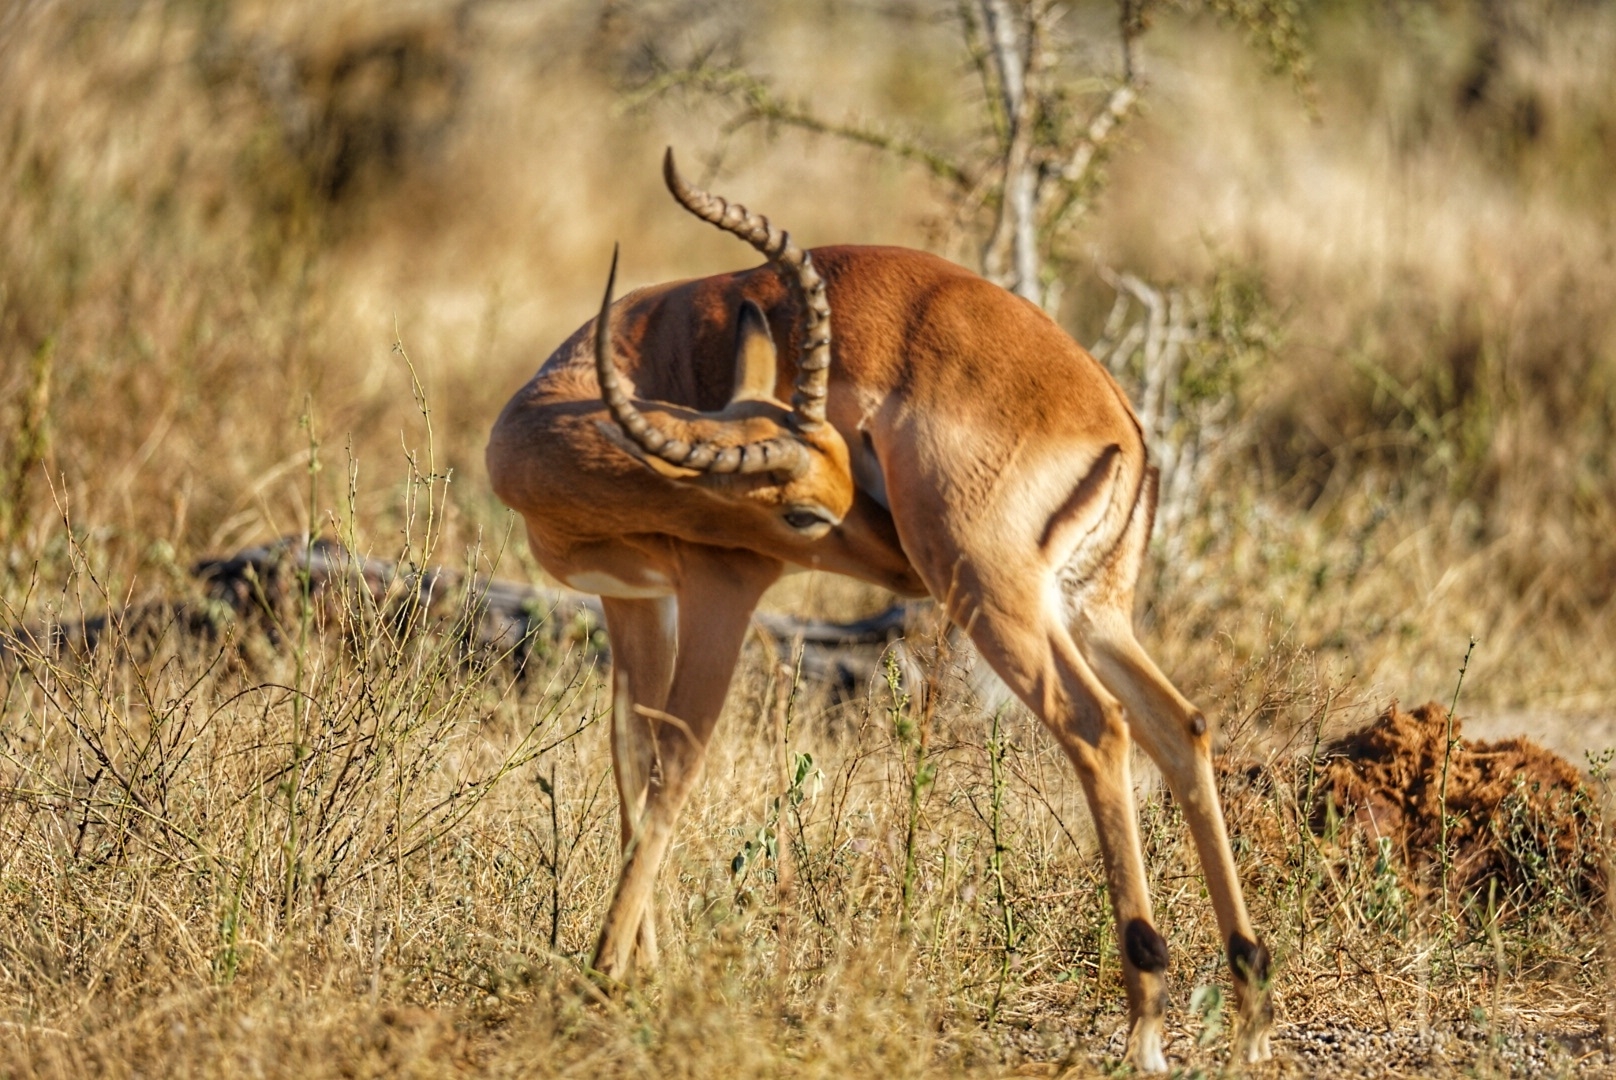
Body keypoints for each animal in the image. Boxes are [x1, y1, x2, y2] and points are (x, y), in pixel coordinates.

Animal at [484, 153, 1266, 1073]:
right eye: (808, 503)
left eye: (844, 465)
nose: (888, 550)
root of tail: (1124, 427)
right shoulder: (633, 599)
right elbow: (629, 763)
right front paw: (648, 965)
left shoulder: (722, 590)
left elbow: (674, 768)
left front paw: (607, 974)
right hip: (1090, 610)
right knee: (1181, 726)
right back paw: (1250, 1010)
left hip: (993, 597)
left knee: (1098, 725)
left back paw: (1144, 1025)